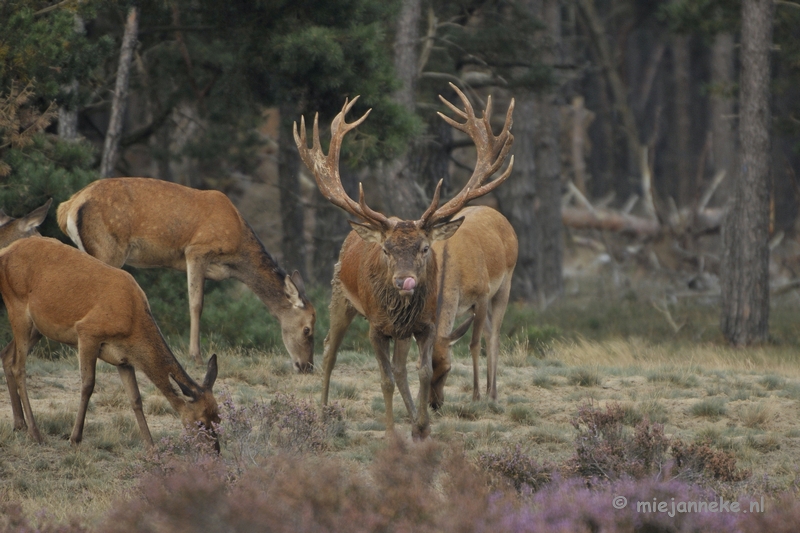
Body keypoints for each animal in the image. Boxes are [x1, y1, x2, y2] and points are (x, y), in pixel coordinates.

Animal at [0, 220, 219, 444]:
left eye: (218, 417)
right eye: (200, 422)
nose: (215, 450)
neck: (132, 323)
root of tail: (5, 252)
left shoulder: (123, 360)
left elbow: (136, 398)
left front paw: (151, 446)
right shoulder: (88, 332)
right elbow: (88, 384)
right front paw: (75, 437)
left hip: (38, 326)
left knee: (7, 355)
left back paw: (20, 424)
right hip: (17, 306)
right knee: (19, 366)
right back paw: (35, 432)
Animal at [57, 179, 316, 370]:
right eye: (307, 329)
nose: (307, 366)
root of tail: (67, 207)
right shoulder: (196, 250)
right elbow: (196, 304)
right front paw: (196, 357)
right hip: (108, 248)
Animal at [432, 205, 520, 408]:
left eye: (448, 368)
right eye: (419, 368)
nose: (435, 404)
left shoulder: (481, 296)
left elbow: (474, 344)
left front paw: (476, 396)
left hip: (504, 284)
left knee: (495, 335)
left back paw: (493, 393)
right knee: (488, 331)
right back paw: (488, 389)